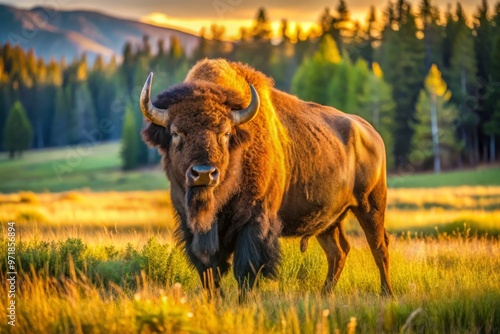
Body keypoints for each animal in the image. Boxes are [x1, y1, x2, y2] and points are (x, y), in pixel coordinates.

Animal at [139, 58, 392, 296]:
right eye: (175, 133)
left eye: (226, 133)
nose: (203, 173)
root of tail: (371, 133)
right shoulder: (192, 228)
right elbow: (210, 273)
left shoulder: (254, 223)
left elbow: (246, 271)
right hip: (329, 221)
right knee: (338, 251)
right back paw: (325, 294)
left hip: (371, 206)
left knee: (379, 247)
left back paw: (386, 293)